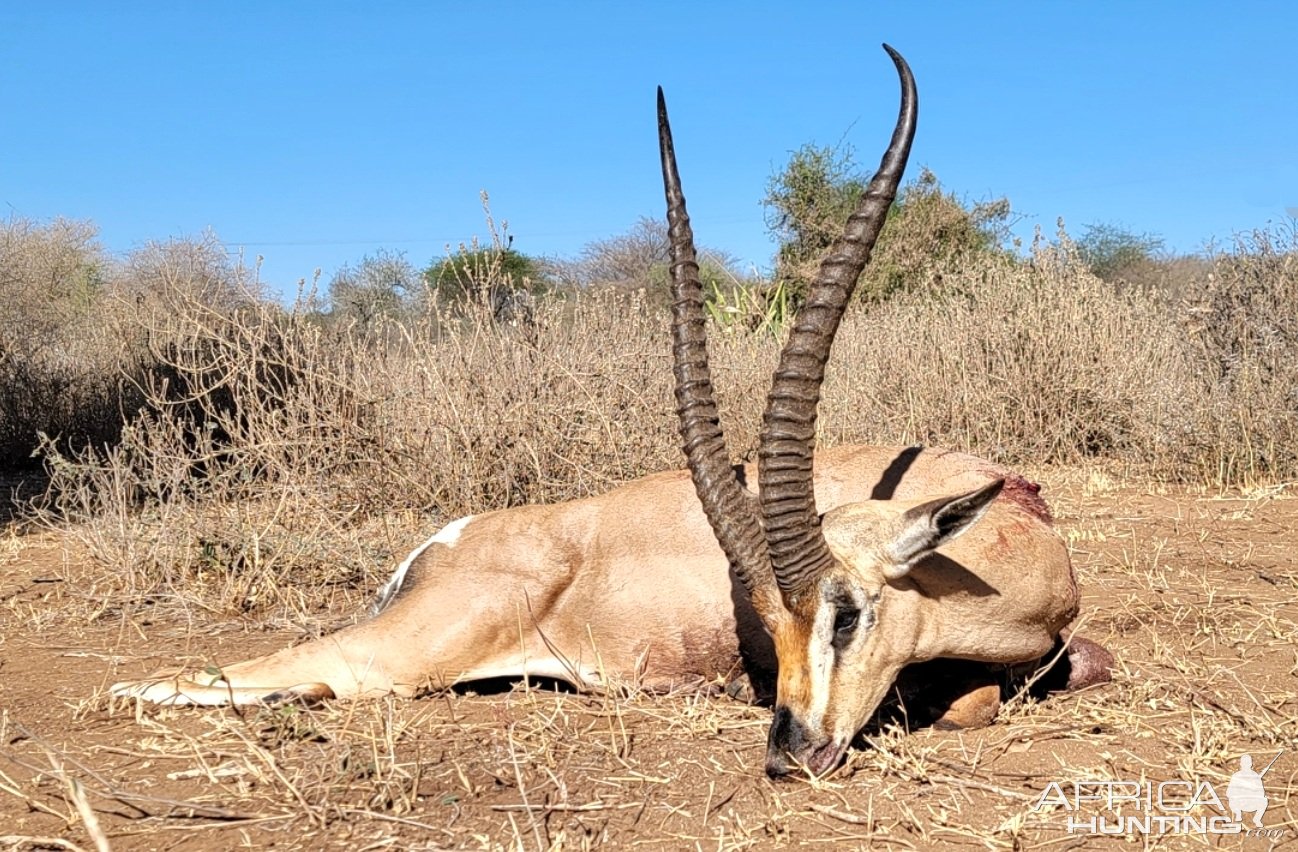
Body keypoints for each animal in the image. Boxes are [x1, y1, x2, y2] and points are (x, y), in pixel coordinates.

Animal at [111, 46, 1111, 779]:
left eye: (846, 613)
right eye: (768, 618)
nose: (789, 753)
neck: (1013, 527)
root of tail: (441, 543)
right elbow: (969, 701)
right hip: (395, 654)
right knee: (234, 677)